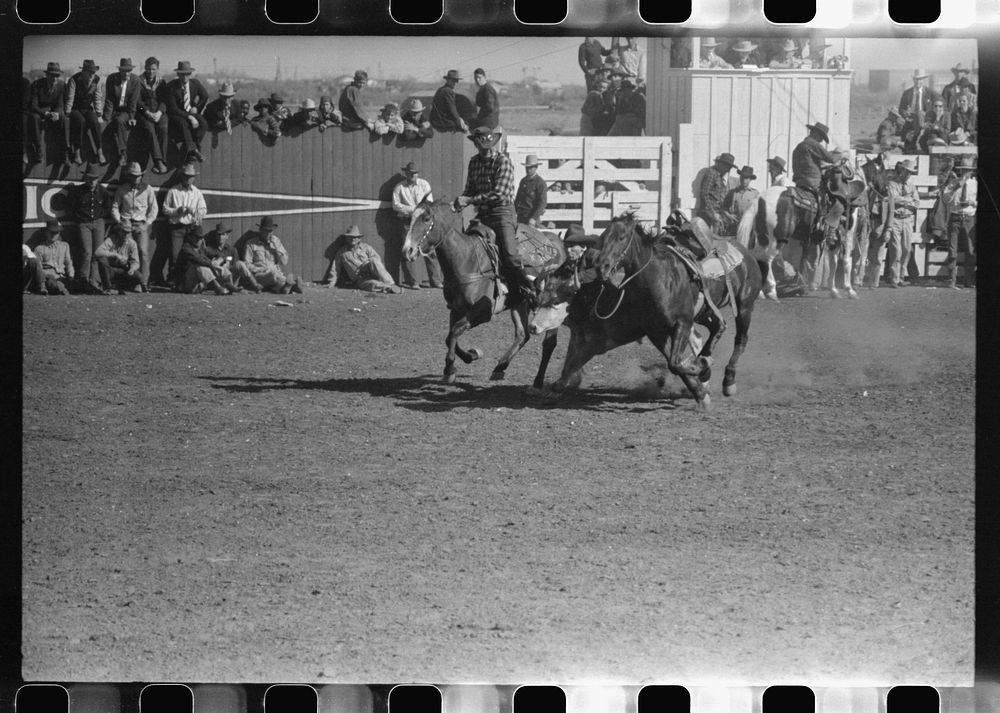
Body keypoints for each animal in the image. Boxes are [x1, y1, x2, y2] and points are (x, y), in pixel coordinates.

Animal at [402, 197, 568, 386]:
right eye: (410, 218)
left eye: (426, 219)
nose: (407, 250)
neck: (466, 260)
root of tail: (556, 242)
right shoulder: (456, 309)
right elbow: (450, 336)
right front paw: (470, 356)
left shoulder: (483, 311)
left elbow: (455, 331)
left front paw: (451, 368)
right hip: (518, 303)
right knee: (522, 334)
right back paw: (499, 368)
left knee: (549, 343)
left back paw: (537, 381)